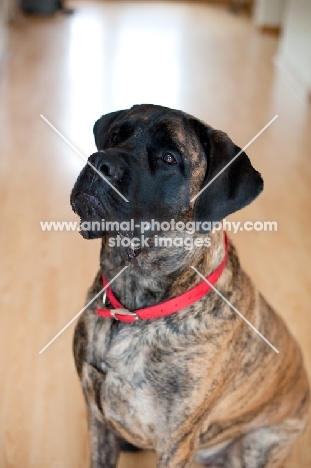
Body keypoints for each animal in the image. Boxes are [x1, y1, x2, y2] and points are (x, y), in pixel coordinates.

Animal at [70, 106, 310, 468]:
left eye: (169, 158)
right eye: (115, 136)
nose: (100, 162)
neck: (133, 302)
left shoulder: (176, 443)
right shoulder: (97, 418)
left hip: (259, 444)